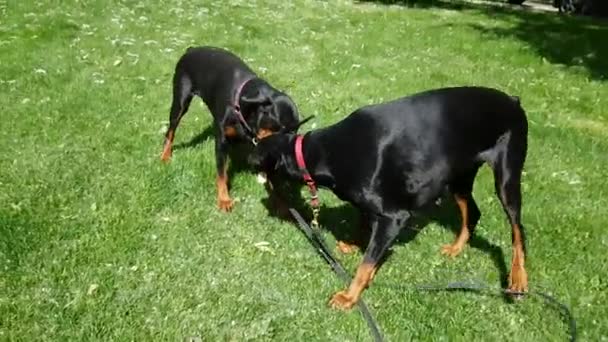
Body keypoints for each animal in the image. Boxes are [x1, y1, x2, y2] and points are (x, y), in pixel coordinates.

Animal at [160, 45, 300, 211]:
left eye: (296, 130)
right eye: (282, 129)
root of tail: (191, 50)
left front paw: (281, 203)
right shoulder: (222, 140)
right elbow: (222, 173)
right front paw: (224, 200)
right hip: (180, 100)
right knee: (170, 131)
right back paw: (165, 155)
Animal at [249, 86, 528, 310]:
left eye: (258, 152)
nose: (249, 160)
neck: (324, 152)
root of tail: (513, 101)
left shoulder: (394, 217)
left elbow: (366, 263)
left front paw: (349, 296)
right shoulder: (369, 207)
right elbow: (363, 225)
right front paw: (352, 245)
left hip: (507, 174)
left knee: (517, 230)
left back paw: (518, 280)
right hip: (458, 176)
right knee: (473, 211)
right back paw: (456, 248)